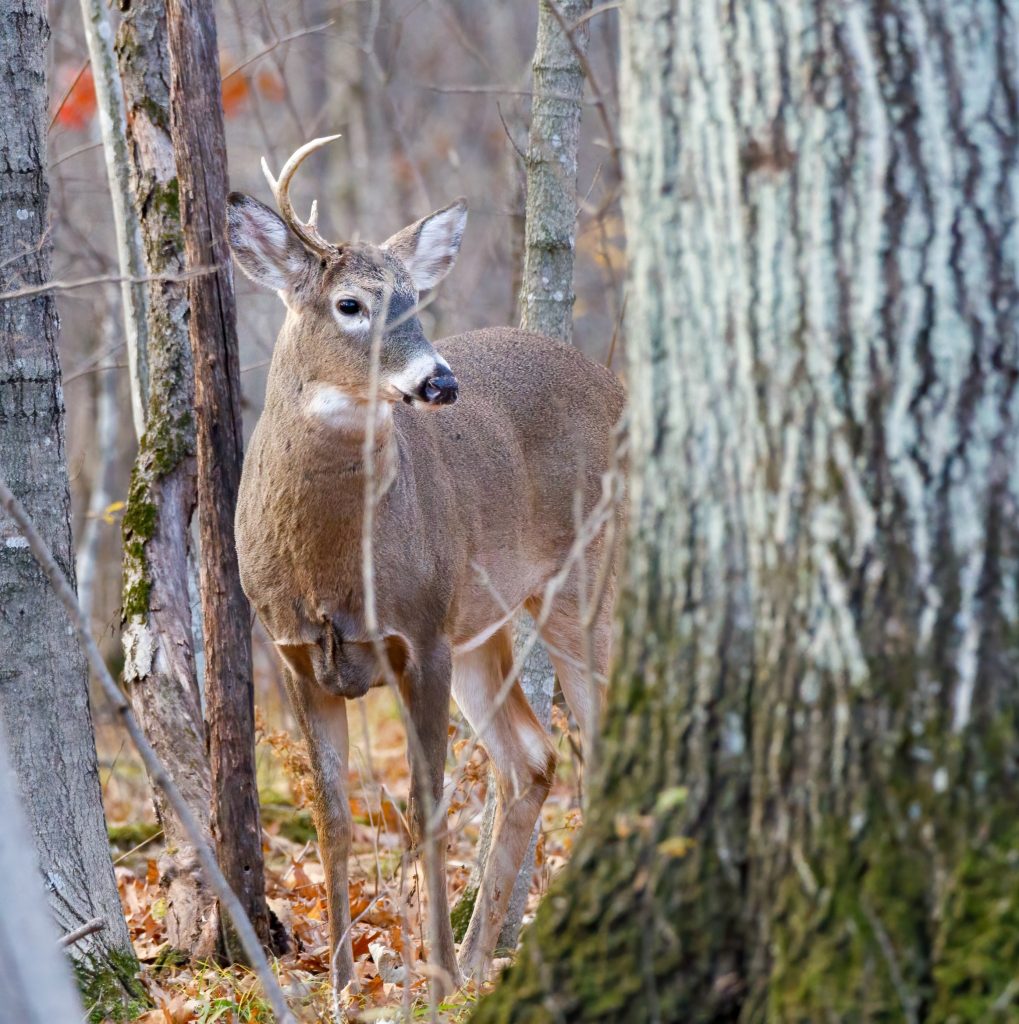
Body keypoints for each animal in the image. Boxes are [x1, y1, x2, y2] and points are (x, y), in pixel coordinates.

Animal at [227, 136, 626, 991]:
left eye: (415, 299)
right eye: (349, 304)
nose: (438, 381)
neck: (329, 570)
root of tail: (617, 389)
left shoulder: (422, 633)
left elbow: (427, 806)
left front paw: (429, 974)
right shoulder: (294, 654)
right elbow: (333, 819)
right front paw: (346, 981)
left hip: (581, 588)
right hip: (487, 626)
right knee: (532, 759)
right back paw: (481, 958)